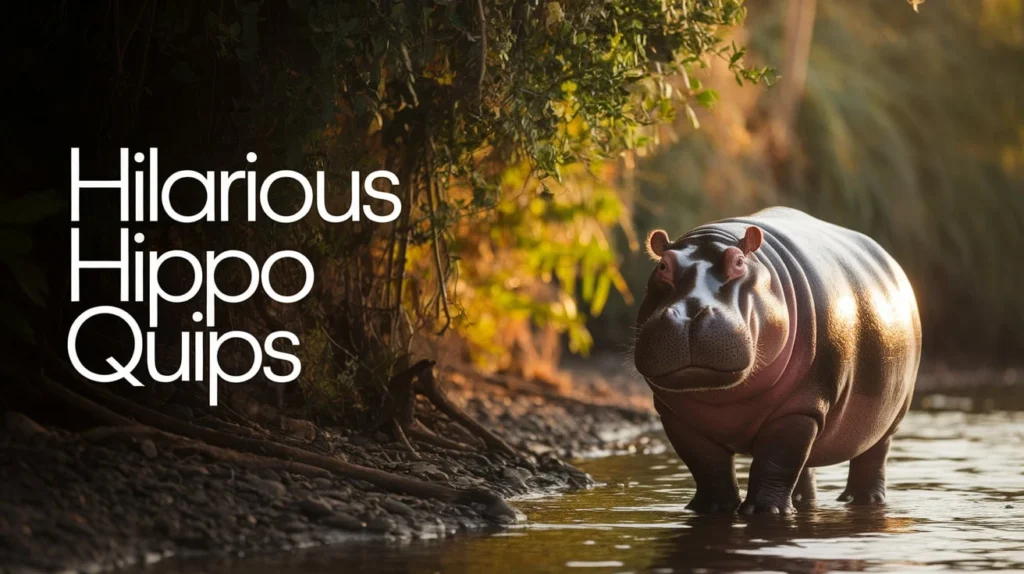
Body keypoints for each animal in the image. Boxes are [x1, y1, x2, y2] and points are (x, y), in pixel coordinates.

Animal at [634, 207, 920, 515]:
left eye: (738, 262)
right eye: (663, 266)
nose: (689, 315)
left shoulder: (800, 408)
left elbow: (777, 461)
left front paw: (764, 513)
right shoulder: (676, 416)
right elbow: (706, 466)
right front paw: (712, 509)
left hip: (891, 417)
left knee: (872, 457)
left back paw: (863, 500)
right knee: (805, 465)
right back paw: (803, 501)